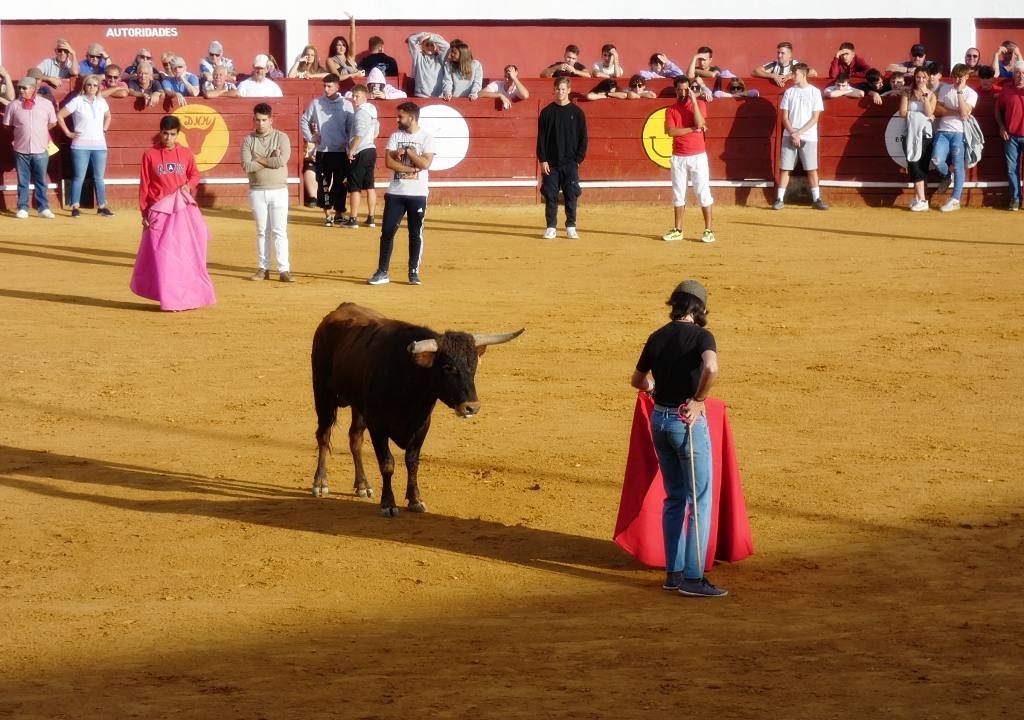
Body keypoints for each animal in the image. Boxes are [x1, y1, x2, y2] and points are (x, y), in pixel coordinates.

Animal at [309, 301, 520, 516]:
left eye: (474, 366)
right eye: (447, 367)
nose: (472, 407)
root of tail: (340, 309)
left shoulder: (421, 425)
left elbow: (412, 461)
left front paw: (415, 499)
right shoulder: (378, 427)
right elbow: (387, 464)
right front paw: (388, 504)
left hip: (358, 406)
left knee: (355, 438)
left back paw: (362, 485)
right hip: (323, 393)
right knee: (324, 435)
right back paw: (320, 483)